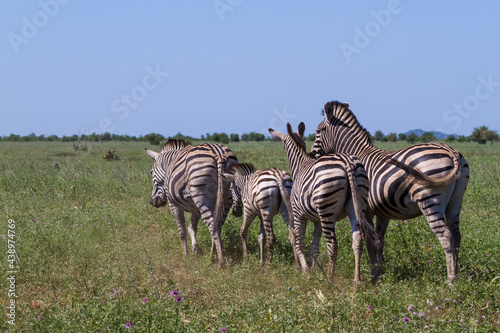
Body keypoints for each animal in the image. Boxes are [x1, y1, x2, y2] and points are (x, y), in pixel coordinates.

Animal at [145, 138, 238, 268]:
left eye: (151, 172)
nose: (153, 202)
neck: (169, 163)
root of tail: (219, 154)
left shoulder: (173, 204)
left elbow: (182, 230)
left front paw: (185, 255)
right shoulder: (195, 208)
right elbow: (192, 227)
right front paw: (195, 248)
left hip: (202, 197)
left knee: (213, 227)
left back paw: (220, 262)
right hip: (226, 198)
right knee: (218, 225)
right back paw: (212, 255)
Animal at [270, 120, 378, 282]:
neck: (300, 165)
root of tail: (346, 162)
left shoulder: (298, 213)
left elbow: (300, 242)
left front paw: (305, 271)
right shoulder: (317, 219)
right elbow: (314, 246)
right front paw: (315, 270)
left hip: (327, 210)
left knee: (332, 244)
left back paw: (329, 279)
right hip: (357, 205)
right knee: (357, 240)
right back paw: (356, 280)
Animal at [310, 100, 470, 278]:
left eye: (317, 131)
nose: (310, 155)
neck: (356, 153)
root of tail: (451, 150)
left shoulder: (366, 209)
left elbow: (370, 240)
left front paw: (374, 272)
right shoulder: (382, 210)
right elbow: (379, 239)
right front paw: (381, 271)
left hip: (430, 200)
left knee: (446, 235)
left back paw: (451, 278)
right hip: (456, 201)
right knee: (456, 234)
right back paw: (458, 272)